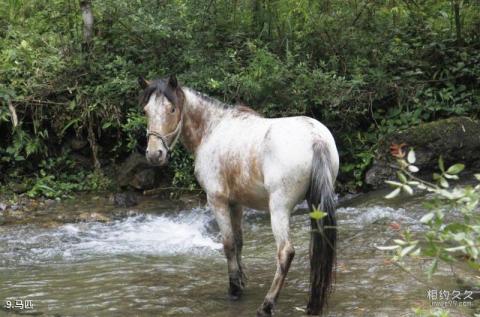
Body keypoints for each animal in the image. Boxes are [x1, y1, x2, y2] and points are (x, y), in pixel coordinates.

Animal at [139, 75, 340, 314]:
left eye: (171, 109)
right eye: (145, 110)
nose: (154, 154)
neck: (212, 130)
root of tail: (316, 138)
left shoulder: (217, 200)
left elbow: (228, 244)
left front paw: (234, 289)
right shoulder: (236, 203)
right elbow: (239, 241)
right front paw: (241, 282)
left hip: (279, 208)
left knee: (285, 252)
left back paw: (267, 305)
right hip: (314, 205)